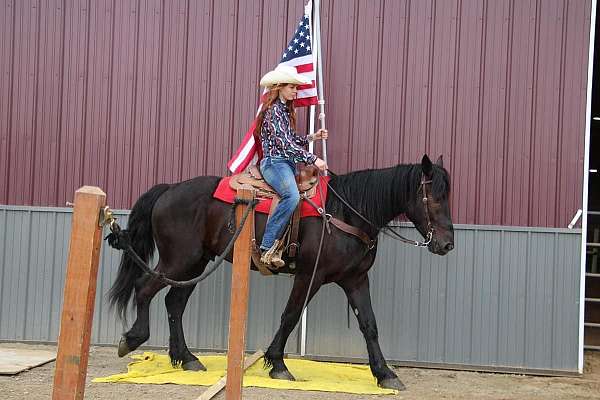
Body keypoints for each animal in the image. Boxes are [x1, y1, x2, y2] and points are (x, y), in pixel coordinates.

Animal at [109, 154, 454, 390]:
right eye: (435, 198)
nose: (447, 243)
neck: (345, 213)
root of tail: (170, 189)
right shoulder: (310, 276)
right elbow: (290, 316)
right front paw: (277, 364)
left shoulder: (355, 279)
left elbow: (369, 325)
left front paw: (385, 374)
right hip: (179, 260)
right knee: (144, 287)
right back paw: (133, 339)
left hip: (196, 263)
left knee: (174, 303)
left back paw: (186, 358)